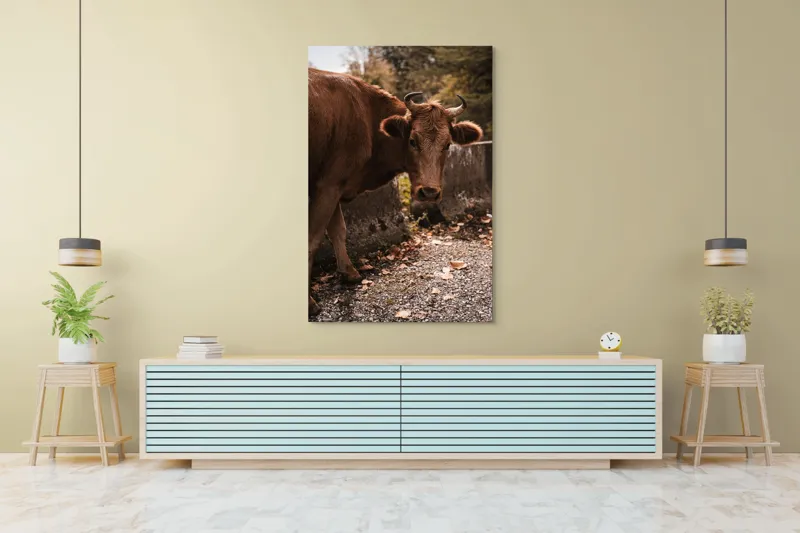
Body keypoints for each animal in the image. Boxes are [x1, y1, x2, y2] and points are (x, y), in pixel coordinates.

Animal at [308, 67, 483, 315]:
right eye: (412, 140)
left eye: (448, 145)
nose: (429, 192)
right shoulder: (327, 185)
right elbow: (313, 239)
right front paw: (310, 303)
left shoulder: (333, 184)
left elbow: (338, 230)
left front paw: (349, 272)